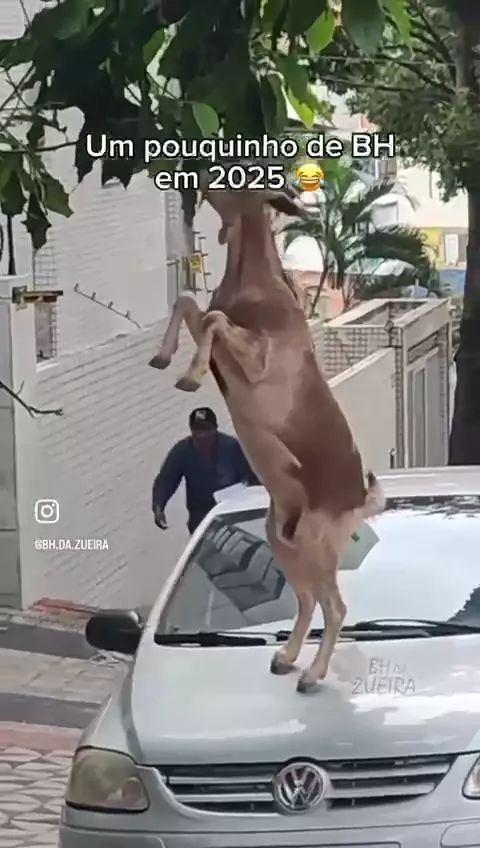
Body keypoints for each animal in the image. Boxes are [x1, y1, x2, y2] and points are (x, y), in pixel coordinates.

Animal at [149, 179, 385, 693]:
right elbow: (190, 303)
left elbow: (213, 320)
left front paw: (190, 375)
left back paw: (313, 675)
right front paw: (165, 358)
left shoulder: (257, 361)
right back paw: (287, 658)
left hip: (317, 541)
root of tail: (360, 499)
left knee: (335, 606)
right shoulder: (219, 326)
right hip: (283, 539)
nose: (195, 178)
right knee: (307, 600)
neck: (256, 285)